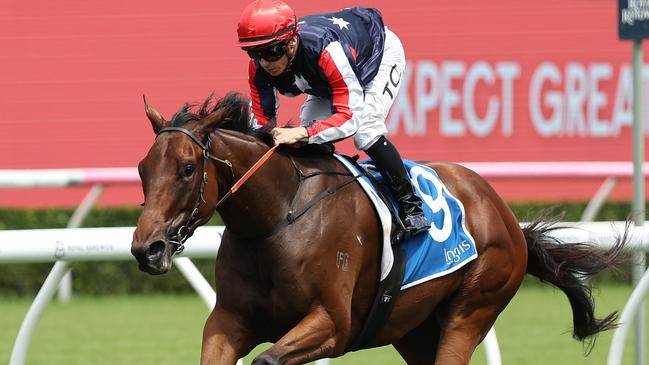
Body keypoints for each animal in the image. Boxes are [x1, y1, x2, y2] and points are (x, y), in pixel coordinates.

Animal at [130, 93, 628, 364]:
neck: (276, 217)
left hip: (475, 306)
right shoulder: (228, 320)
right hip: (413, 328)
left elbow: (269, 357)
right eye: (141, 169)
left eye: (188, 169)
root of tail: (507, 216)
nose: (145, 250)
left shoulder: (332, 324)